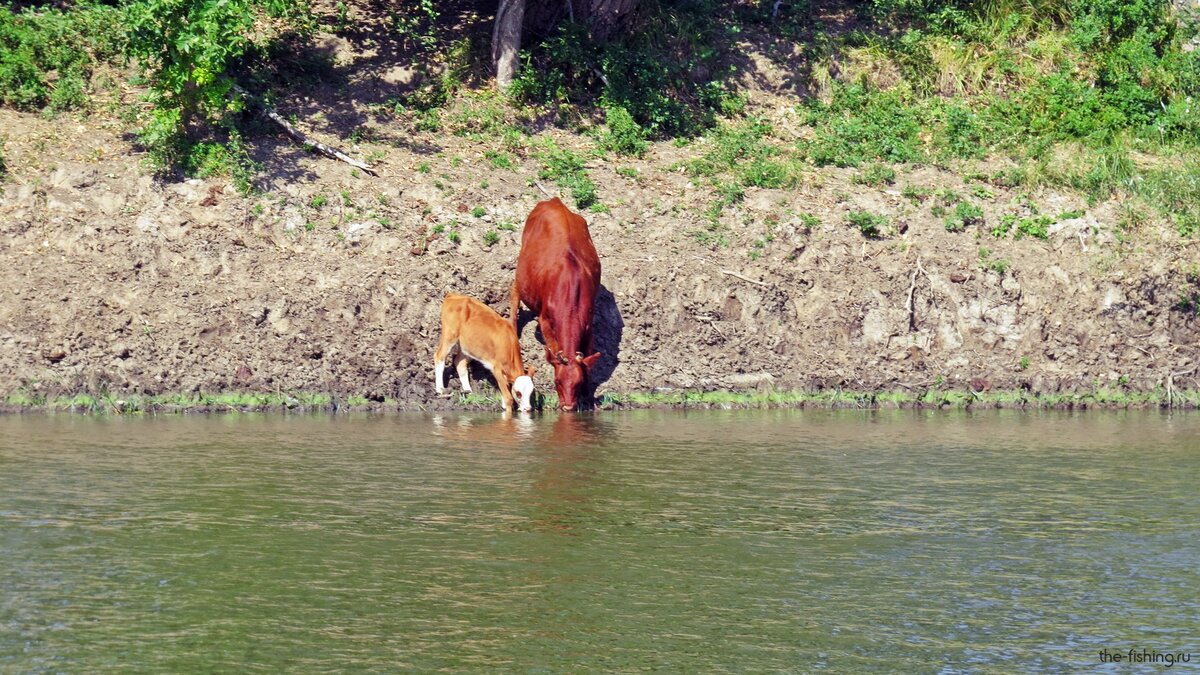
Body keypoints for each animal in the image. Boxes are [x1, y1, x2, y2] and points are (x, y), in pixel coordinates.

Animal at [508, 195, 600, 410]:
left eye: (578, 383)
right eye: (557, 381)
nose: (567, 408)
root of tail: (554, 201)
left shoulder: (589, 324)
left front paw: (589, 394)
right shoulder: (545, 321)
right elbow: (553, 346)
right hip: (521, 266)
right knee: (515, 292)